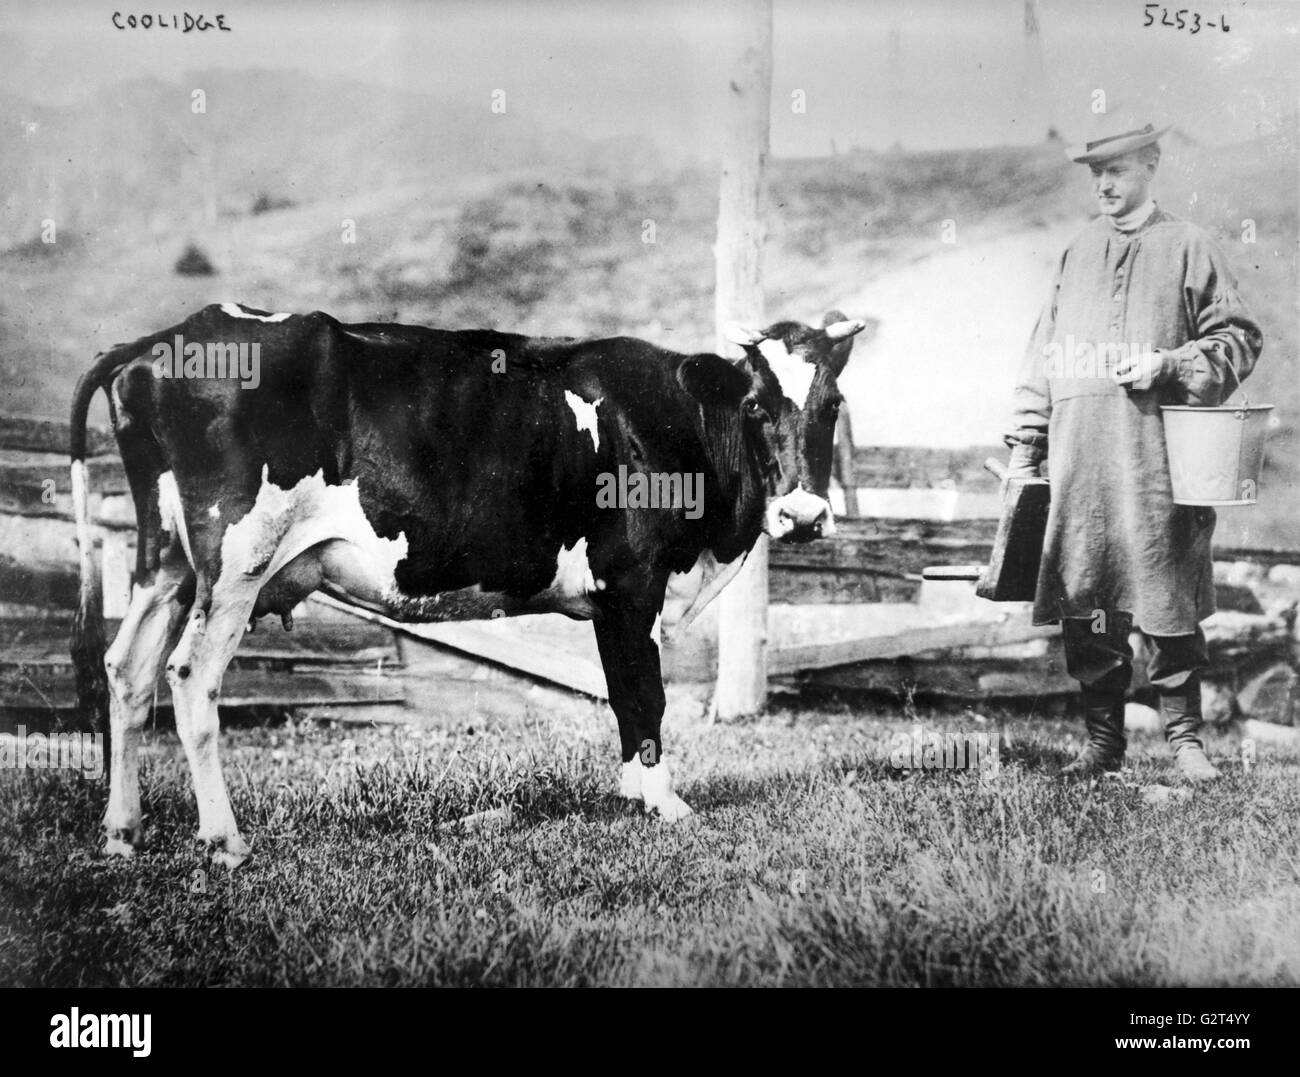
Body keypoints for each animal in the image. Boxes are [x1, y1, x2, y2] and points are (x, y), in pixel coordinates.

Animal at [71, 303, 863, 868]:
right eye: (757, 406)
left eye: (832, 406)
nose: (803, 515)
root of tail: (171, 334)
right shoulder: (633, 583)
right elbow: (647, 695)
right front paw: (666, 803)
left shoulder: (610, 601)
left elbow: (623, 696)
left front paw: (632, 795)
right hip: (234, 562)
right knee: (188, 676)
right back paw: (224, 840)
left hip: (166, 561)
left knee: (127, 668)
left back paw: (122, 830)